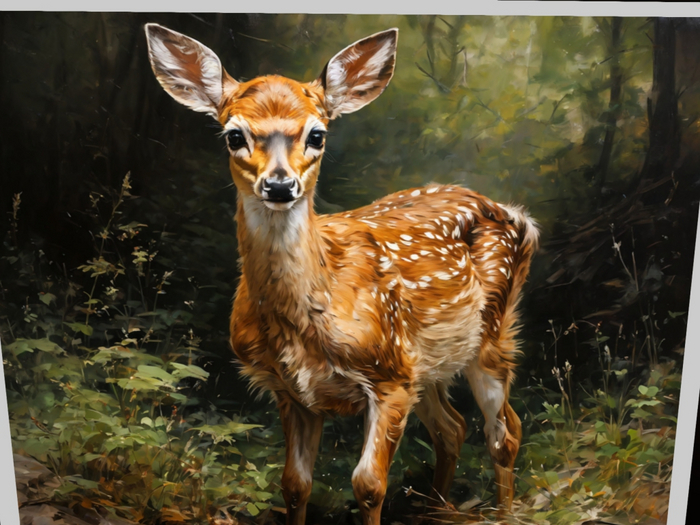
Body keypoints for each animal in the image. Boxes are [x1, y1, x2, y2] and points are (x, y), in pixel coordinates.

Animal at [145, 23, 539, 525]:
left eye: (317, 134)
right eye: (233, 135)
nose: (279, 185)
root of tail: (513, 213)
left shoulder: (388, 377)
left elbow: (368, 485)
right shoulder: (292, 389)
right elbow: (294, 485)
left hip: (493, 335)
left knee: (504, 432)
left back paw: (502, 510)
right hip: (427, 364)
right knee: (452, 428)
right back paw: (436, 507)